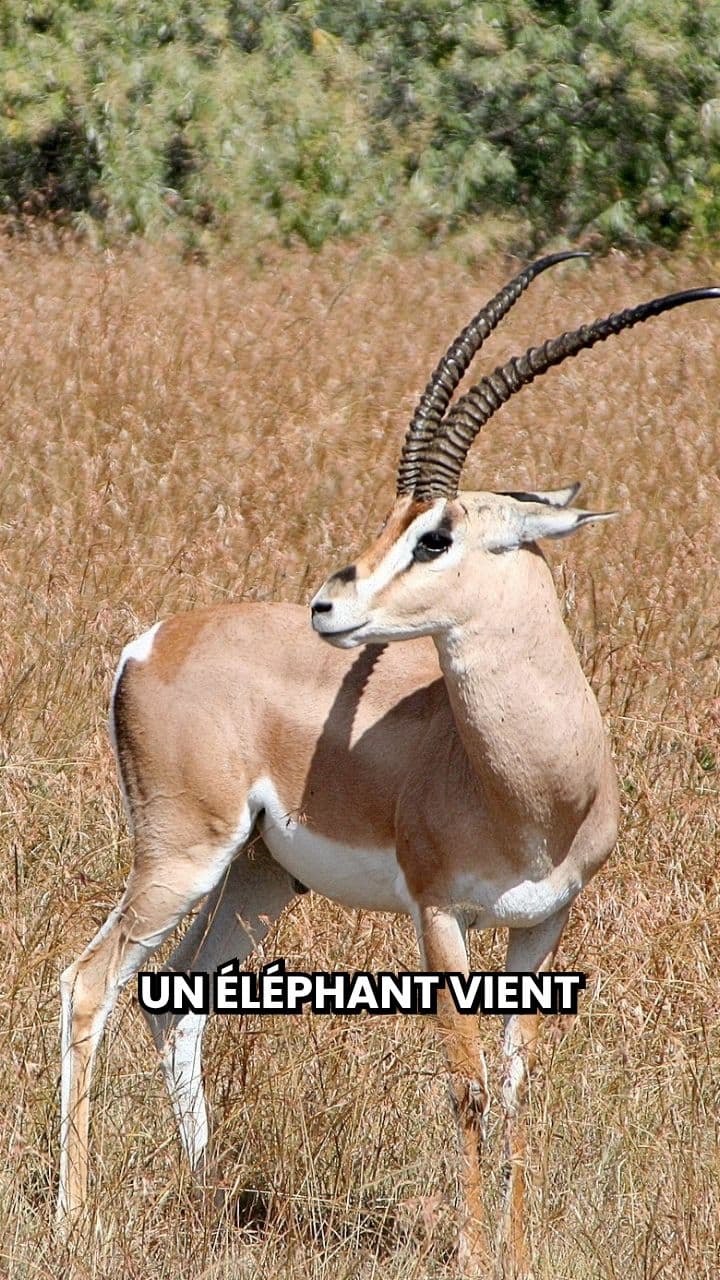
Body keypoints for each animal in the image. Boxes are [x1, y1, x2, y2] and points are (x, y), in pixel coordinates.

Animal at [57, 253, 720, 1277]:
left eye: (434, 534)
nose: (328, 606)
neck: (532, 792)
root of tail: (148, 641)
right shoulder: (437, 914)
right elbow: (467, 1082)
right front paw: (476, 1252)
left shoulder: (547, 923)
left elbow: (519, 1085)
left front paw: (519, 1250)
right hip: (179, 857)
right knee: (89, 984)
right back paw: (75, 1221)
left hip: (258, 876)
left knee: (178, 1002)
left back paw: (205, 1205)